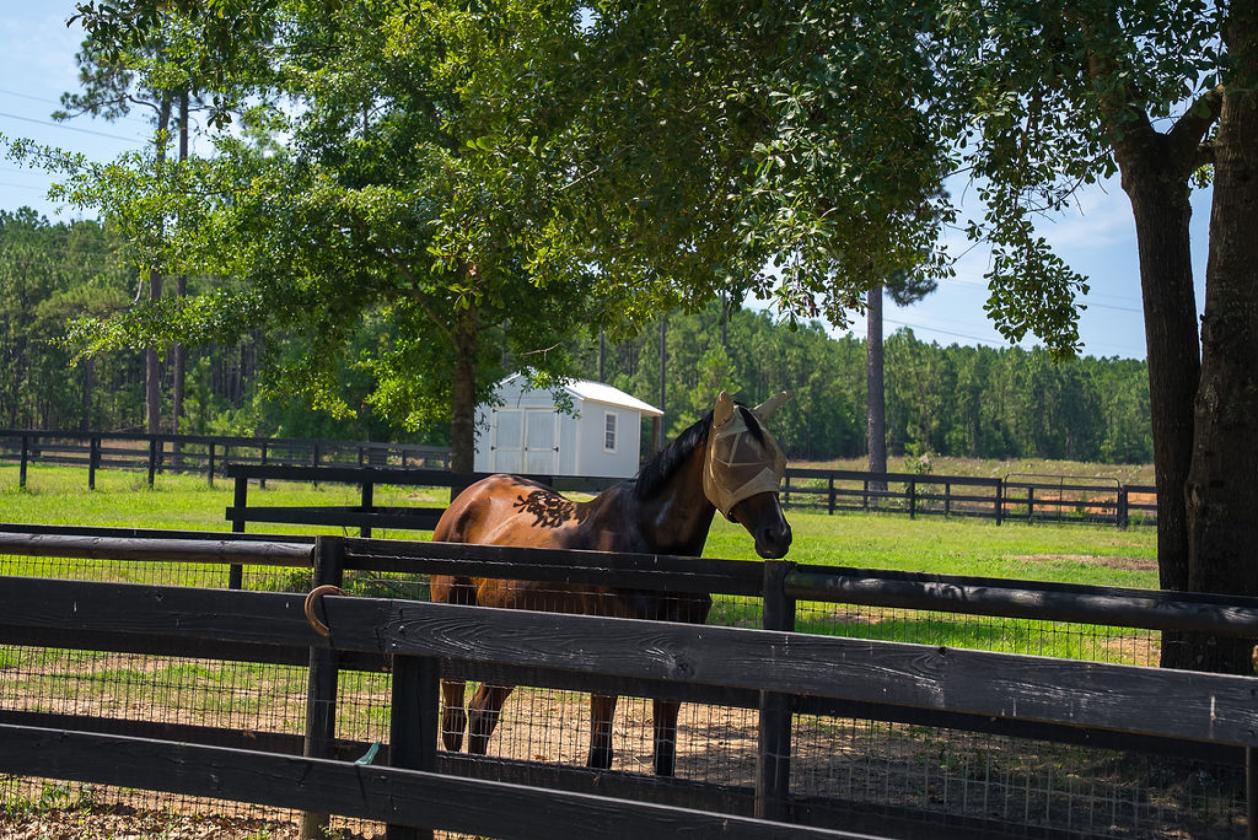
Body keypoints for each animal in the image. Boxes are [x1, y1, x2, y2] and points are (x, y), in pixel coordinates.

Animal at [430, 390, 793, 776]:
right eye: (733, 459)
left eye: (776, 456)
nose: (778, 535)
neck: (651, 548)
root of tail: (466, 500)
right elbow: (600, 755)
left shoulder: (674, 667)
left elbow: (664, 758)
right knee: (456, 718)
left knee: (482, 713)